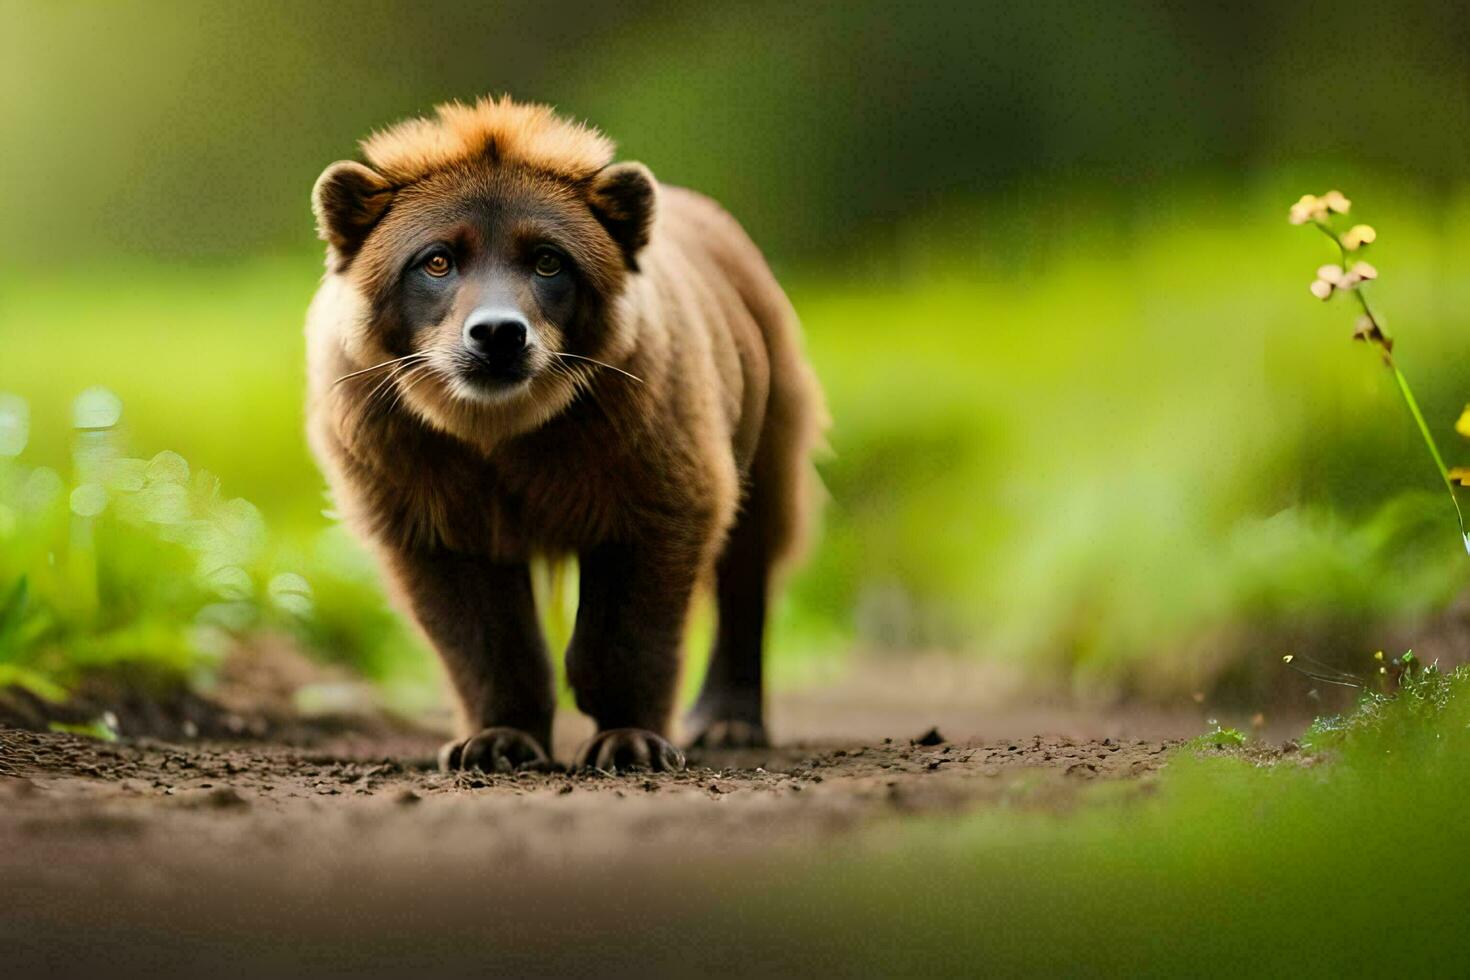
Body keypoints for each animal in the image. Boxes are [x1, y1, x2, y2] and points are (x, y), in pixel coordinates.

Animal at [301, 97, 829, 775]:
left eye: (548, 259)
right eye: (437, 259)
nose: (498, 333)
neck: (502, 431)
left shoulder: (644, 460)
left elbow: (632, 627)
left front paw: (630, 739)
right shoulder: (418, 481)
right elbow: (481, 636)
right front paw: (496, 739)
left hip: (766, 411)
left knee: (750, 556)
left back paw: (728, 719)